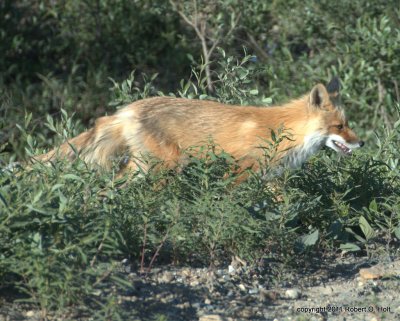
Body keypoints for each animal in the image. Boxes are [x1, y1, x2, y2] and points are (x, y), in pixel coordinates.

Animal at [36, 78, 364, 178]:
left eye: (347, 125)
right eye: (339, 126)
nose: (361, 144)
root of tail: (124, 111)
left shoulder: (269, 178)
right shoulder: (241, 170)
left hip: (143, 166)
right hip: (166, 165)